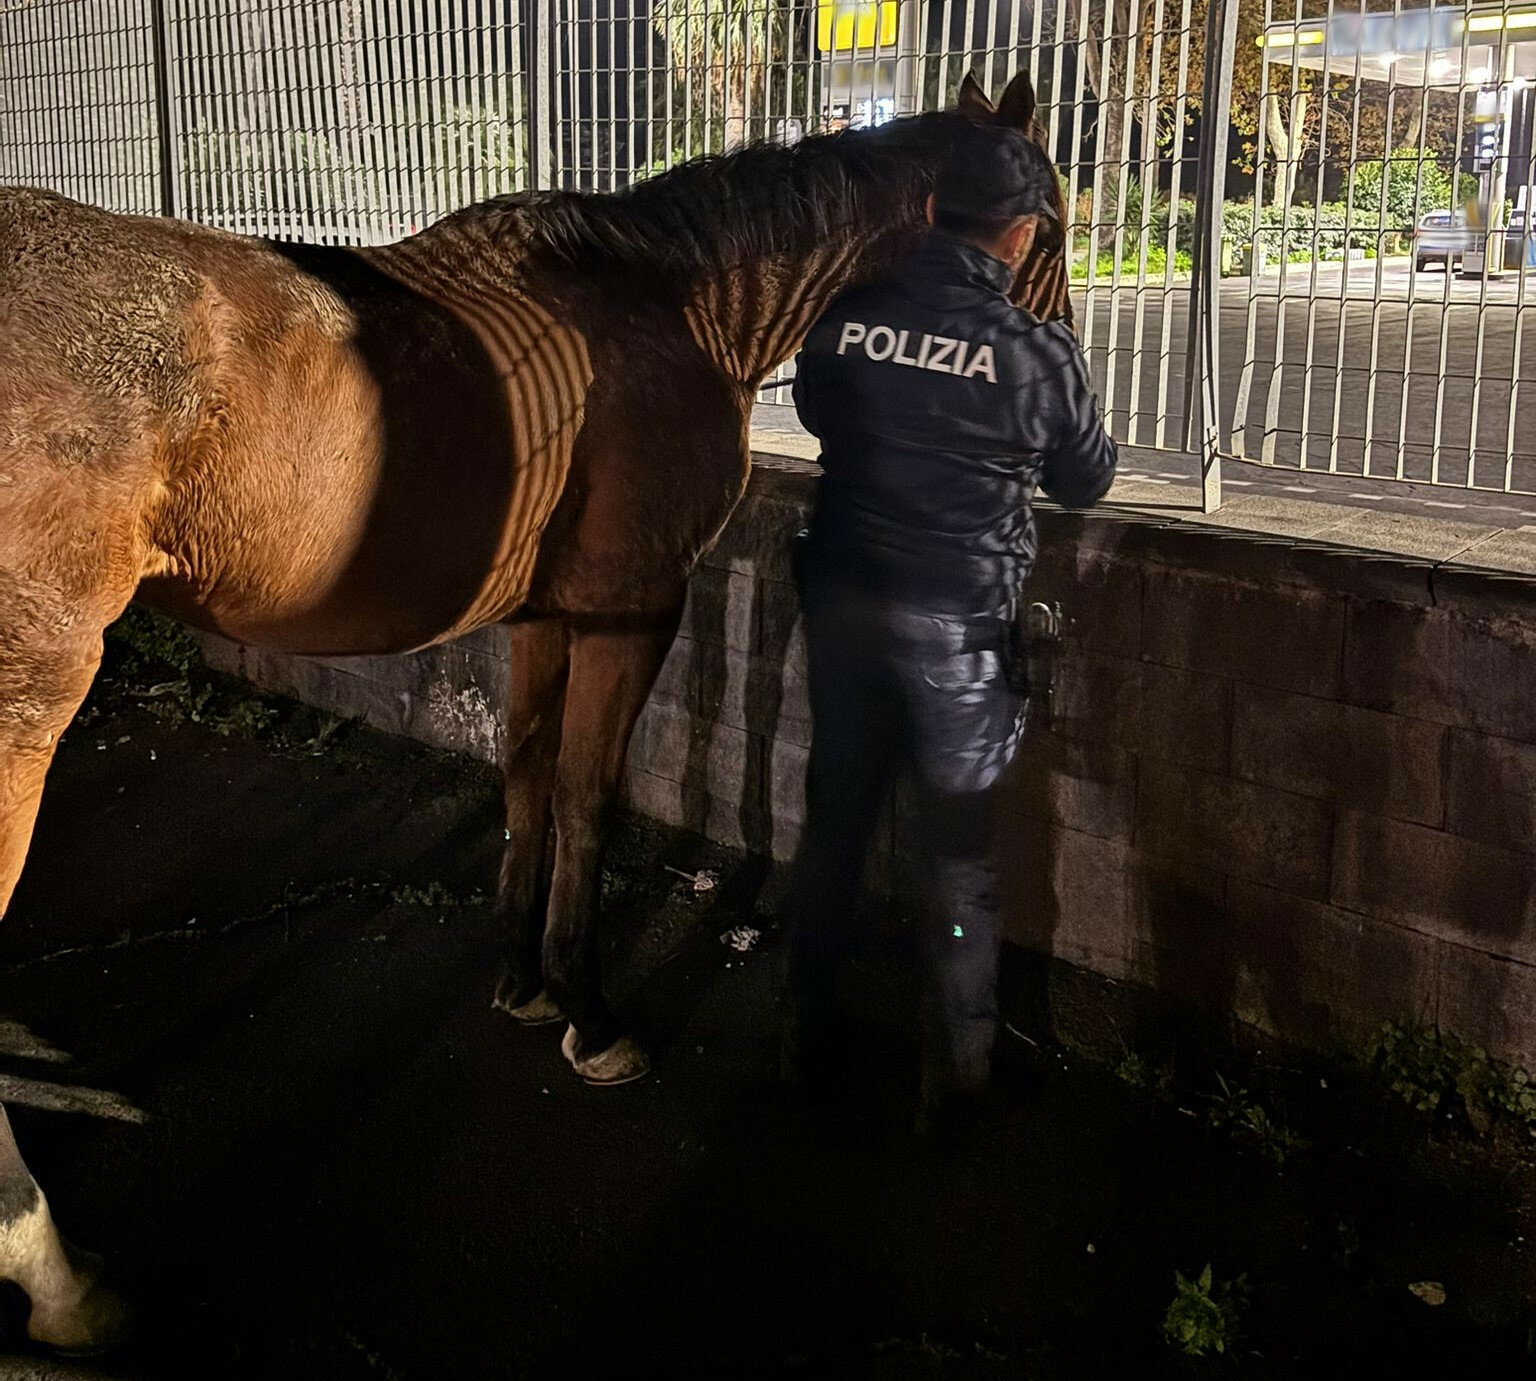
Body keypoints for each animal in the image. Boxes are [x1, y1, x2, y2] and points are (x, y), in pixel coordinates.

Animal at [0, 69, 1071, 1350]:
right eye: (1053, 227)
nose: (1069, 404)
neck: (678, 302)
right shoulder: (630, 613)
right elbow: (586, 799)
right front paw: (589, 1010)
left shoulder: (547, 617)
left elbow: (523, 777)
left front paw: (521, 979)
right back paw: (55, 1272)